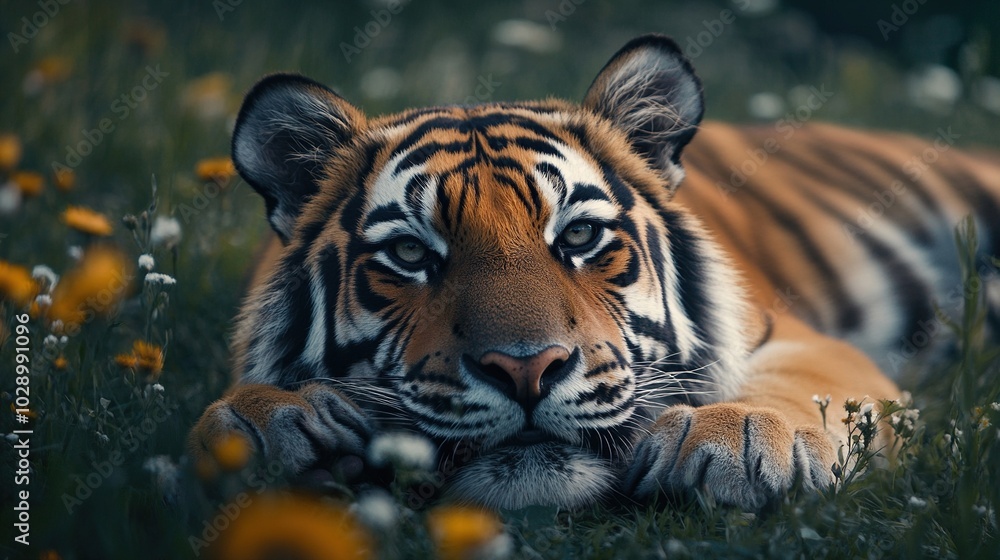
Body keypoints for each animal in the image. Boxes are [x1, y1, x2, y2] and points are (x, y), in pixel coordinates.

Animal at [189, 34, 1000, 511]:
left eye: (579, 235)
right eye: (413, 254)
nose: (526, 369)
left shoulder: (802, 339)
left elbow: (802, 386)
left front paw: (736, 438)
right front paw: (263, 424)